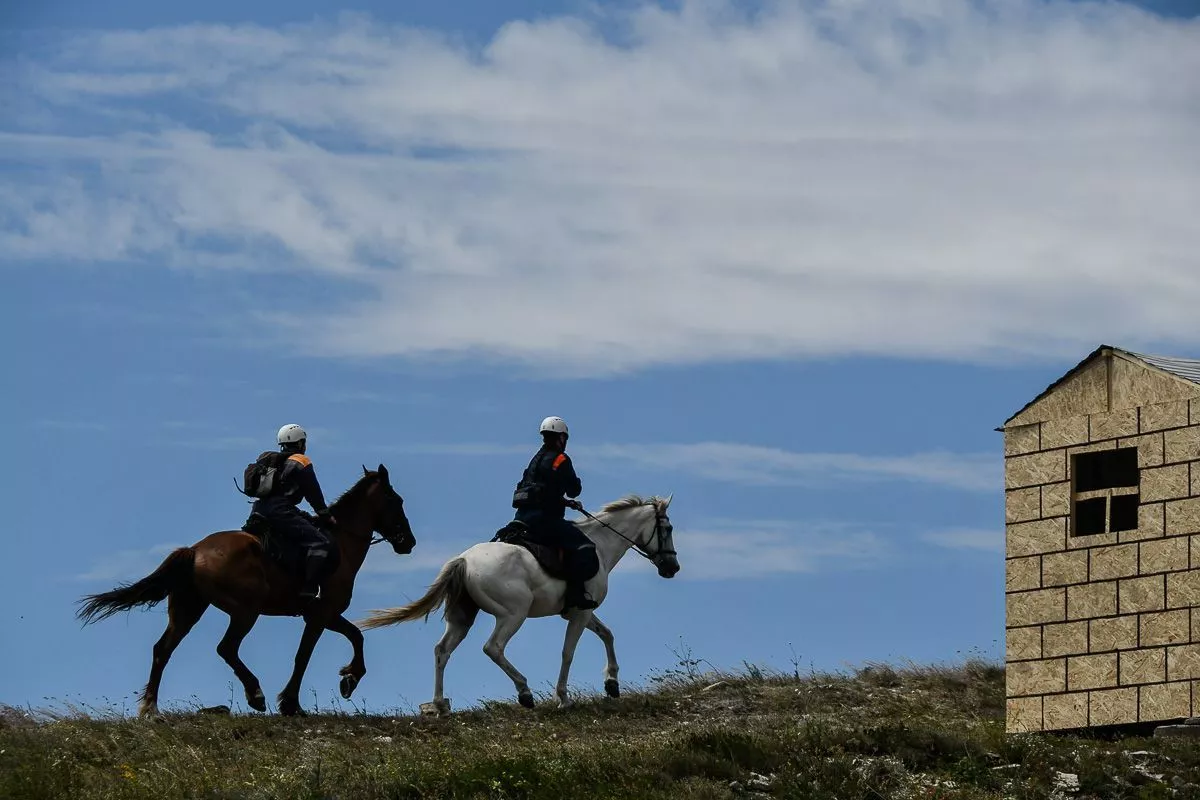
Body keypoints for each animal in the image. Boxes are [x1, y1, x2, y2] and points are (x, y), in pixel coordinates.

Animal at [76, 464, 415, 717]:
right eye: (396, 501)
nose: (408, 542)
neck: (341, 543)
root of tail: (195, 550)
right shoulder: (320, 615)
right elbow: (305, 656)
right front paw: (292, 703)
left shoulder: (325, 615)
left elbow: (356, 636)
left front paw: (349, 678)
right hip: (244, 611)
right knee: (226, 648)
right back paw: (255, 694)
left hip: (189, 609)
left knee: (163, 649)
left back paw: (150, 709)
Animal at [357, 494, 679, 714]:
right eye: (669, 529)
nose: (672, 568)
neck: (600, 545)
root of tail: (464, 560)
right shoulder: (581, 612)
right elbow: (568, 653)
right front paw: (563, 697)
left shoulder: (581, 612)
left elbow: (607, 635)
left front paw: (611, 683)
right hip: (514, 613)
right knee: (493, 648)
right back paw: (524, 691)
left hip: (462, 616)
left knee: (442, 651)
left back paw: (440, 705)